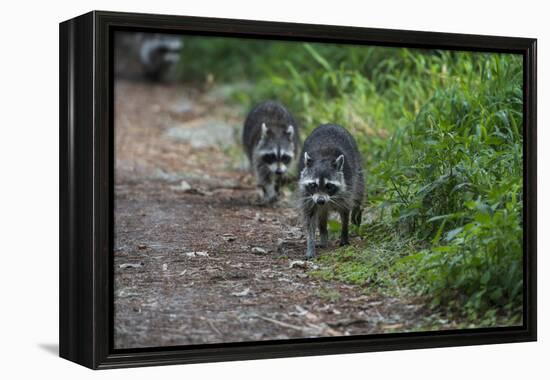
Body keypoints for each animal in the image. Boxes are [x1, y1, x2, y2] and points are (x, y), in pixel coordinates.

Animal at [298, 124, 366, 258]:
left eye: (329, 186)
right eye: (313, 185)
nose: (320, 200)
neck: (322, 158)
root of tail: (329, 124)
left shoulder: (347, 186)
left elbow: (345, 212)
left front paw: (344, 234)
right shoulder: (307, 195)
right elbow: (310, 218)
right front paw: (310, 244)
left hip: (358, 170)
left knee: (358, 193)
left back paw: (356, 210)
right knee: (322, 215)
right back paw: (323, 234)